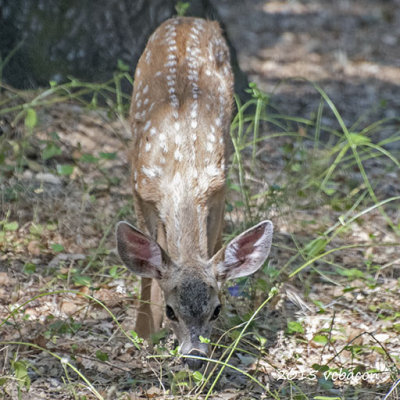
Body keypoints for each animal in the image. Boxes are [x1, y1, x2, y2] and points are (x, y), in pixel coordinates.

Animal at [114, 17, 274, 370]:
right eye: (173, 311)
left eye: (216, 309)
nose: (195, 358)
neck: (181, 175)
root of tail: (191, 19)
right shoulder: (139, 185)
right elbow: (147, 270)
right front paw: (143, 333)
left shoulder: (217, 188)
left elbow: (212, 246)